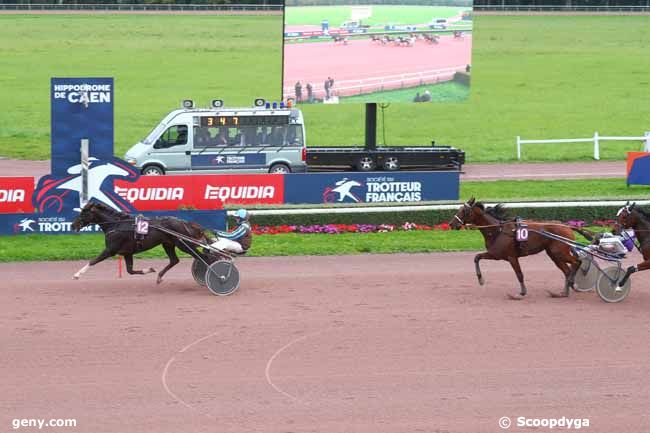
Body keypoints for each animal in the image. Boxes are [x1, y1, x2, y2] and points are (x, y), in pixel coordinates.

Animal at [71, 202, 208, 284]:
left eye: (84, 213)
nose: (72, 225)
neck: (116, 224)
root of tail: (184, 222)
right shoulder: (127, 253)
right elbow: (130, 271)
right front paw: (149, 270)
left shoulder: (110, 250)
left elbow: (93, 261)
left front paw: (77, 274)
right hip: (168, 244)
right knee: (175, 260)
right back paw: (159, 276)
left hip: (183, 244)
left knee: (202, 257)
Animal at [448, 197, 580, 298]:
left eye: (463, 211)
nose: (451, 224)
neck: (498, 231)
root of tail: (567, 226)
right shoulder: (495, 254)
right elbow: (477, 257)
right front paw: (481, 280)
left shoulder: (511, 257)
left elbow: (519, 274)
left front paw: (522, 292)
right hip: (553, 254)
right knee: (567, 270)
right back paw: (564, 292)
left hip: (559, 252)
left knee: (576, 262)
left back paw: (573, 283)